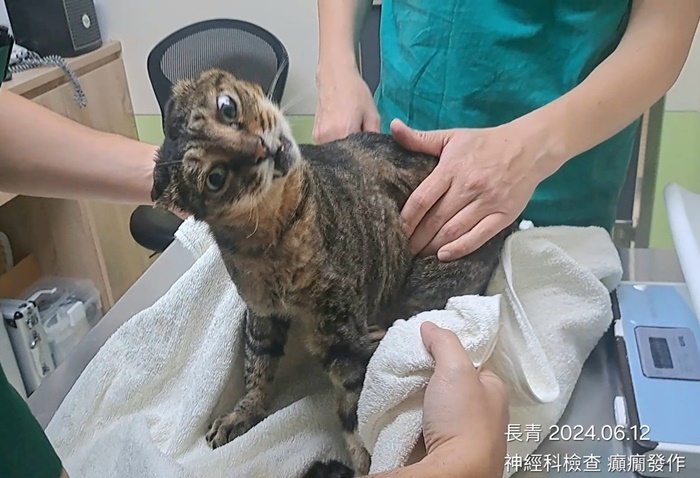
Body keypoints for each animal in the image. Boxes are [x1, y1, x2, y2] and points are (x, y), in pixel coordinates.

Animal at [151, 68, 517, 477]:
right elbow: (257, 365)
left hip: (423, 282)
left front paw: (365, 463)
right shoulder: (261, 314)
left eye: (227, 107)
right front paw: (243, 412)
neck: (275, 237)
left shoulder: (339, 332)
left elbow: (356, 407)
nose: (259, 148)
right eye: (216, 178)